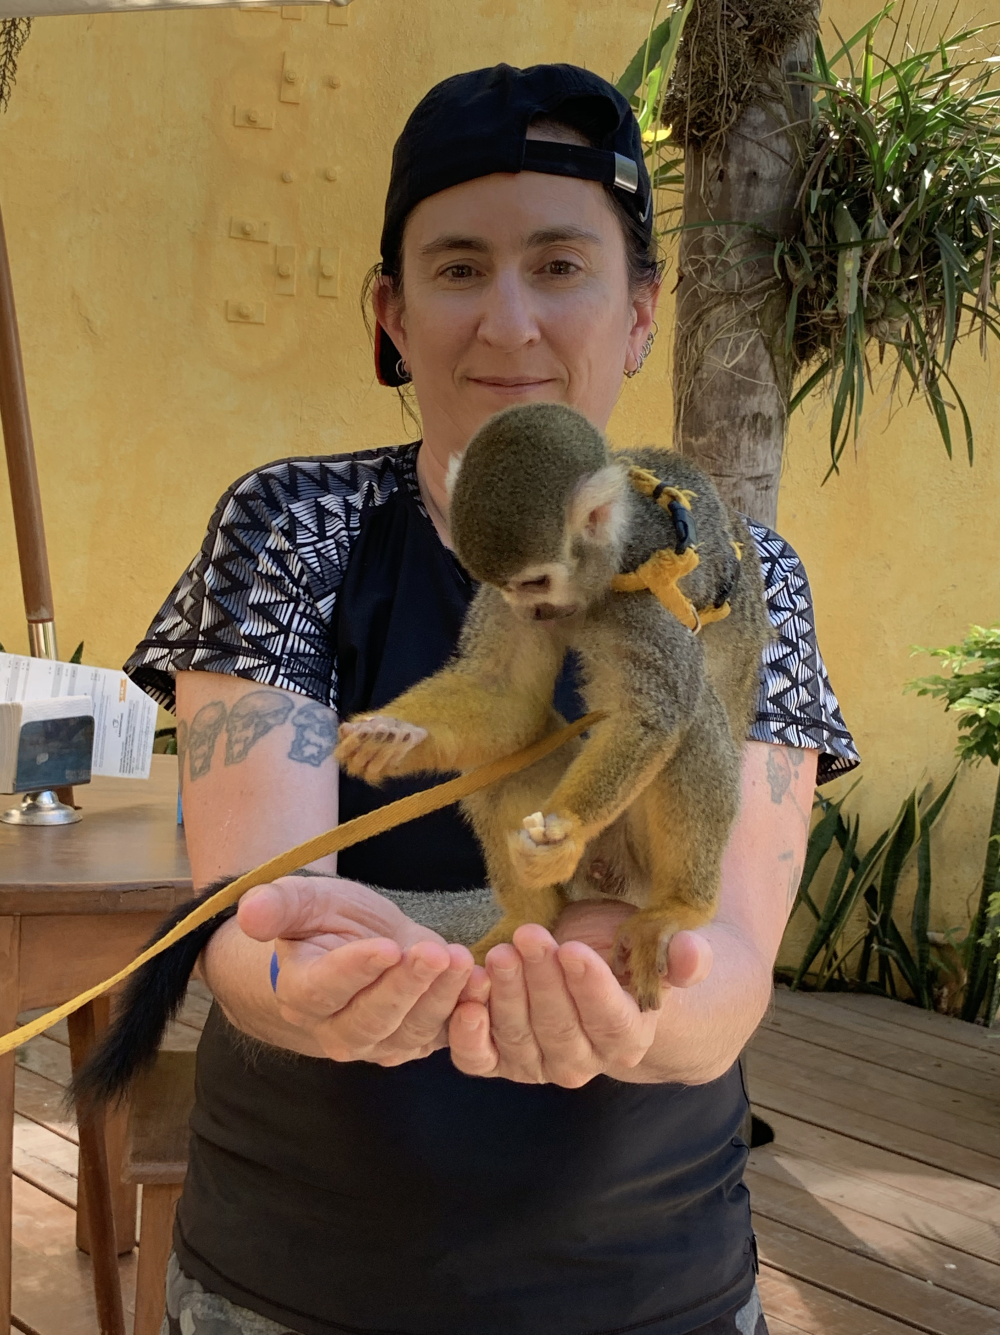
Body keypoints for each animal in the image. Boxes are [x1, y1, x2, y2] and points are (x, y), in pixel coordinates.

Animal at [335, 402, 772, 1011]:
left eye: (537, 581)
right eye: (504, 584)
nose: (531, 611)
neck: (609, 565)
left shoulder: (650, 595)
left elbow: (654, 716)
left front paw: (566, 830)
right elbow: (507, 696)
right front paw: (396, 735)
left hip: (633, 861)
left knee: (695, 718)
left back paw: (680, 906)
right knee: (507, 754)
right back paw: (530, 915)